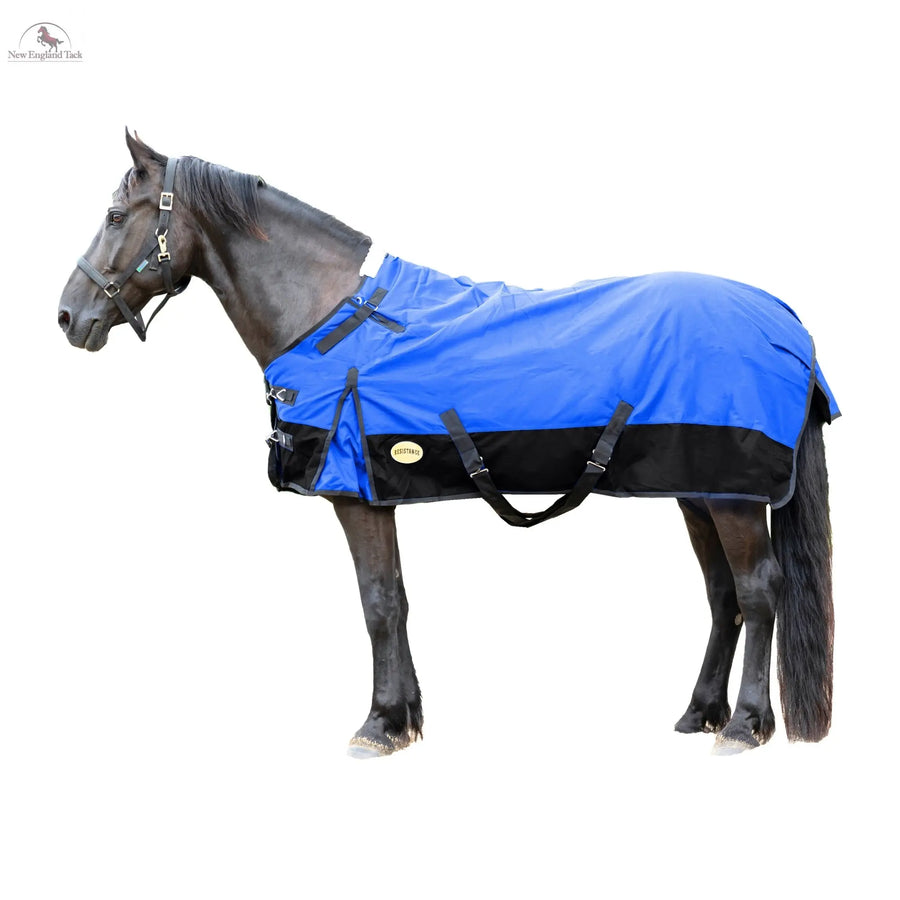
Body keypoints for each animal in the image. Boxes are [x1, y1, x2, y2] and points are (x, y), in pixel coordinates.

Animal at [58, 131, 837, 757]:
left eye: (115, 216)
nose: (68, 315)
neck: (328, 315)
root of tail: (784, 318)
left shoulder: (354, 497)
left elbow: (376, 602)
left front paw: (377, 726)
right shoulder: (378, 495)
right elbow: (397, 599)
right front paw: (405, 719)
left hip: (733, 497)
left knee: (758, 591)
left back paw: (744, 725)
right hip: (698, 490)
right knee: (722, 593)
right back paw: (699, 713)